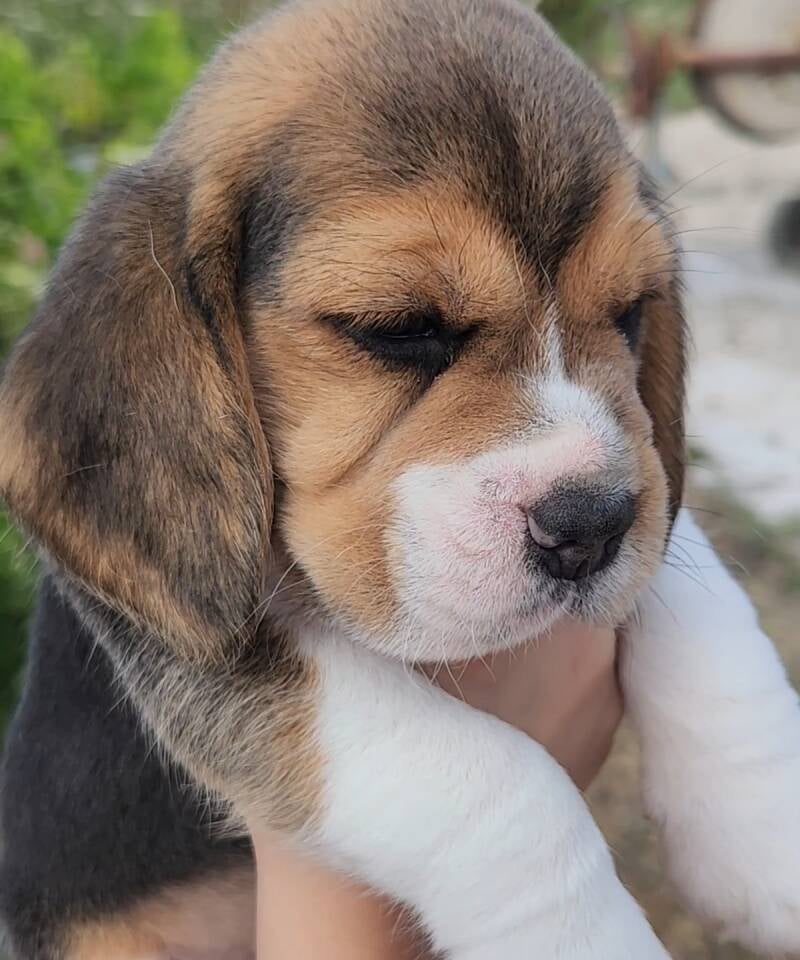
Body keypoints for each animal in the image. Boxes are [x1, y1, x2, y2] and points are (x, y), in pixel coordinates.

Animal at [2, 0, 800, 957]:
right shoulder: (193, 657)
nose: (591, 525)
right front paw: (585, 935)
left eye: (631, 312)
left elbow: (702, 596)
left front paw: (761, 833)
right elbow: (495, 781)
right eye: (400, 327)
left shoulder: (653, 494)